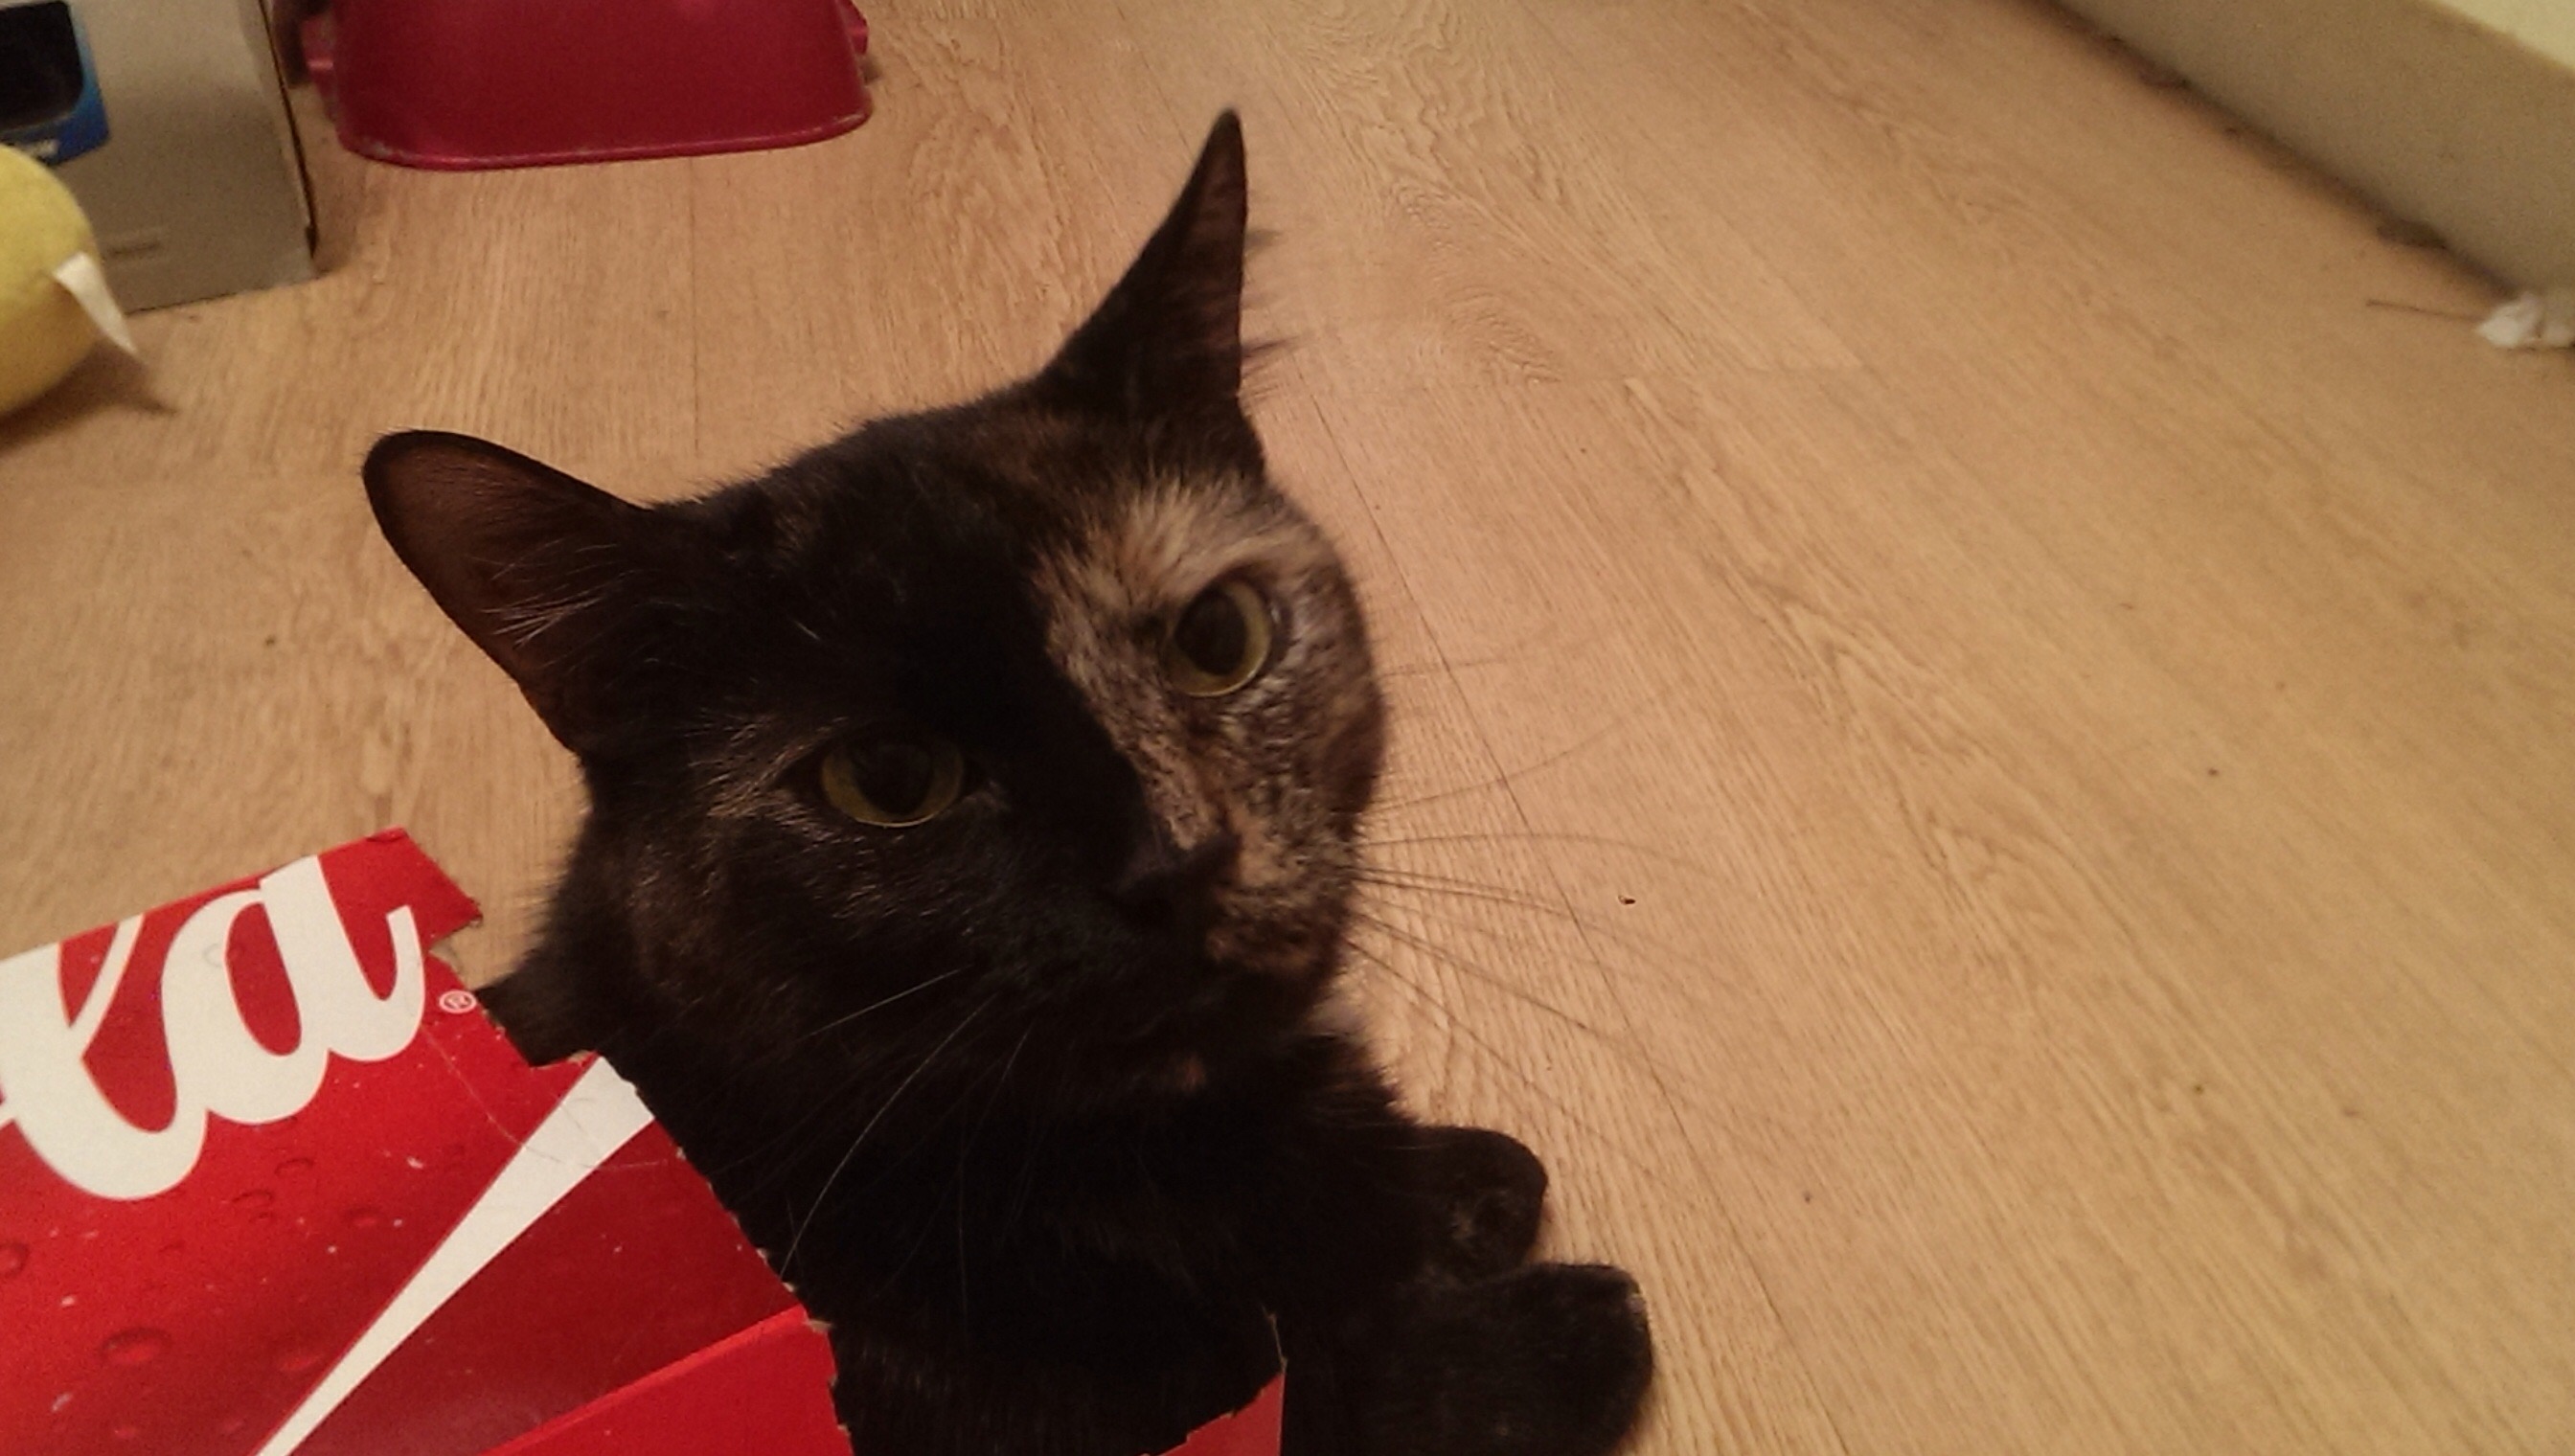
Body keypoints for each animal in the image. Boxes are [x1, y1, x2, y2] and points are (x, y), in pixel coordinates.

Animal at [363, 113, 1654, 1456]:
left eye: (1220, 639)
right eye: (889, 779)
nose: (1178, 860)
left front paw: (1466, 1177)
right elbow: (1364, 1380)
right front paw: (1536, 1325)